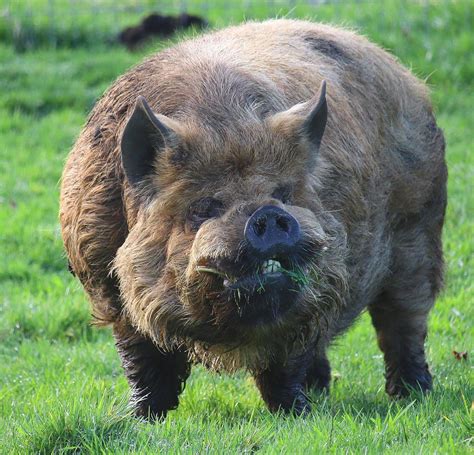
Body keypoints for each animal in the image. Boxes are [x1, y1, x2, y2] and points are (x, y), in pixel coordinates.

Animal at [57, 20, 446, 420]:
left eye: (284, 193)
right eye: (204, 207)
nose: (268, 214)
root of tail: (404, 75)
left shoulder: (317, 291)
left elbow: (285, 362)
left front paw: (294, 414)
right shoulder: (104, 284)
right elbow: (143, 358)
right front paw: (142, 418)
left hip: (420, 227)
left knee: (404, 318)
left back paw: (411, 393)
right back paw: (323, 389)